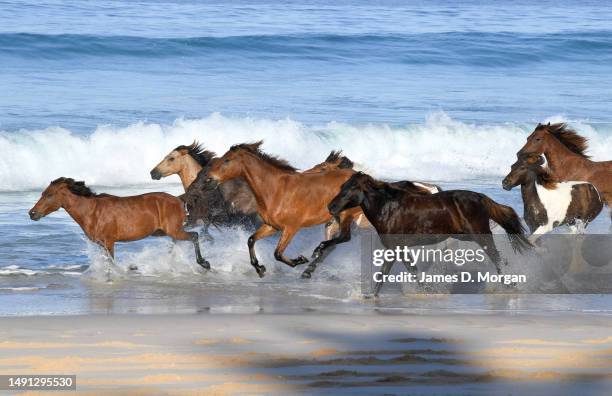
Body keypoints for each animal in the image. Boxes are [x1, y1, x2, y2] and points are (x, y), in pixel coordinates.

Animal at [28, 178, 209, 270]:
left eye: (49, 195)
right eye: (43, 193)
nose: (32, 213)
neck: (92, 211)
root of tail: (179, 199)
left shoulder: (109, 242)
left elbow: (111, 263)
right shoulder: (101, 244)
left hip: (174, 230)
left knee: (194, 236)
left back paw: (204, 263)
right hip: (164, 231)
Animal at [201, 142, 364, 278]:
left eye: (227, 160)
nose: (207, 179)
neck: (276, 190)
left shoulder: (291, 228)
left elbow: (277, 254)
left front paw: (299, 260)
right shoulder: (272, 226)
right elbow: (251, 240)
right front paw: (260, 269)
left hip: (346, 215)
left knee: (345, 237)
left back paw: (318, 250)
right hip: (335, 219)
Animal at [326, 172, 532, 294]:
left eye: (351, 188)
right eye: (342, 186)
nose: (331, 207)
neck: (389, 208)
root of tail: (482, 197)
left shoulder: (393, 248)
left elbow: (388, 272)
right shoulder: (399, 248)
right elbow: (407, 269)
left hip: (480, 235)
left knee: (496, 257)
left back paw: (510, 284)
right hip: (463, 234)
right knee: (498, 257)